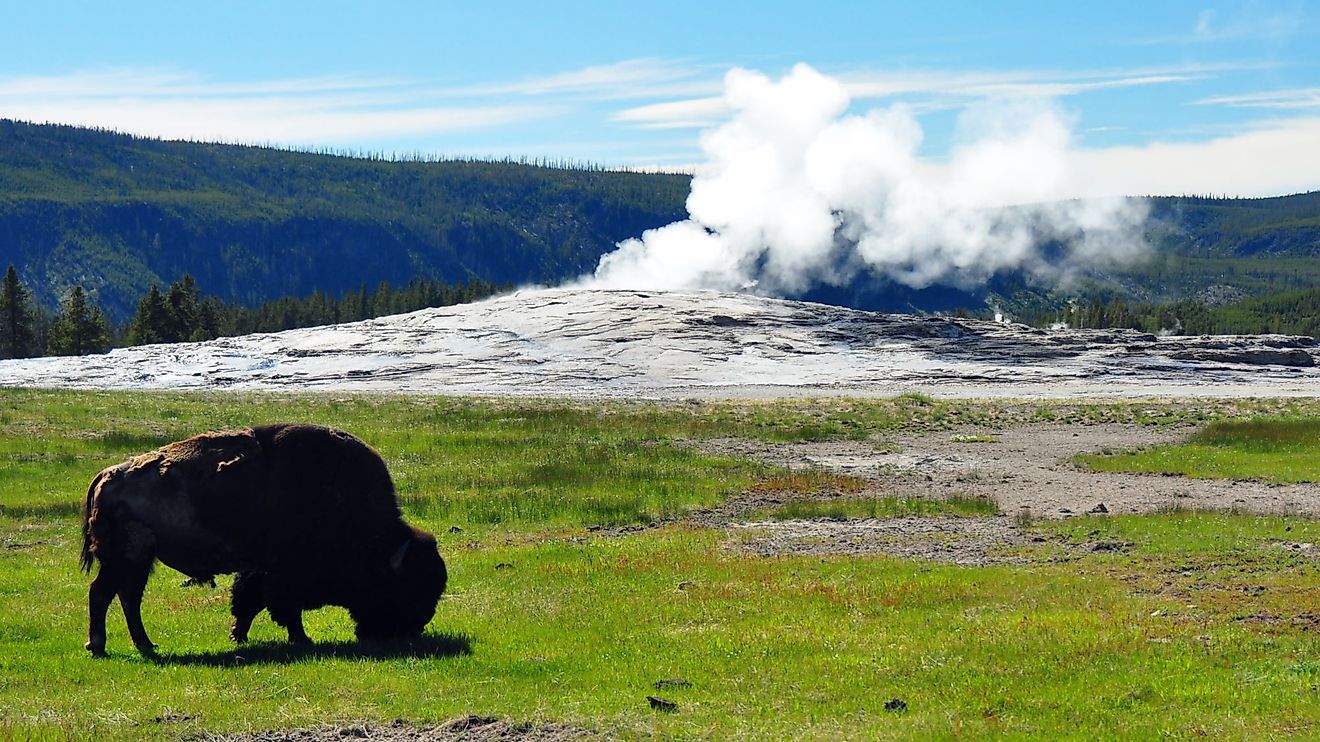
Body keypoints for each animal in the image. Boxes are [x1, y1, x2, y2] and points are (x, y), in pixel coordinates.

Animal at [79, 422, 446, 652]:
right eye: (407, 587)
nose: (411, 630)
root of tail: (107, 476)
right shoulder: (285, 574)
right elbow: (283, 606)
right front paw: (301, 639)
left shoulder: (259, 568)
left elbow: (250, 600)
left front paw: (238, 636)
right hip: (127, 557)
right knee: (105, 593)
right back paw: (99, 646)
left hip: (138, 561)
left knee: (126, 597)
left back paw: (145, 644)